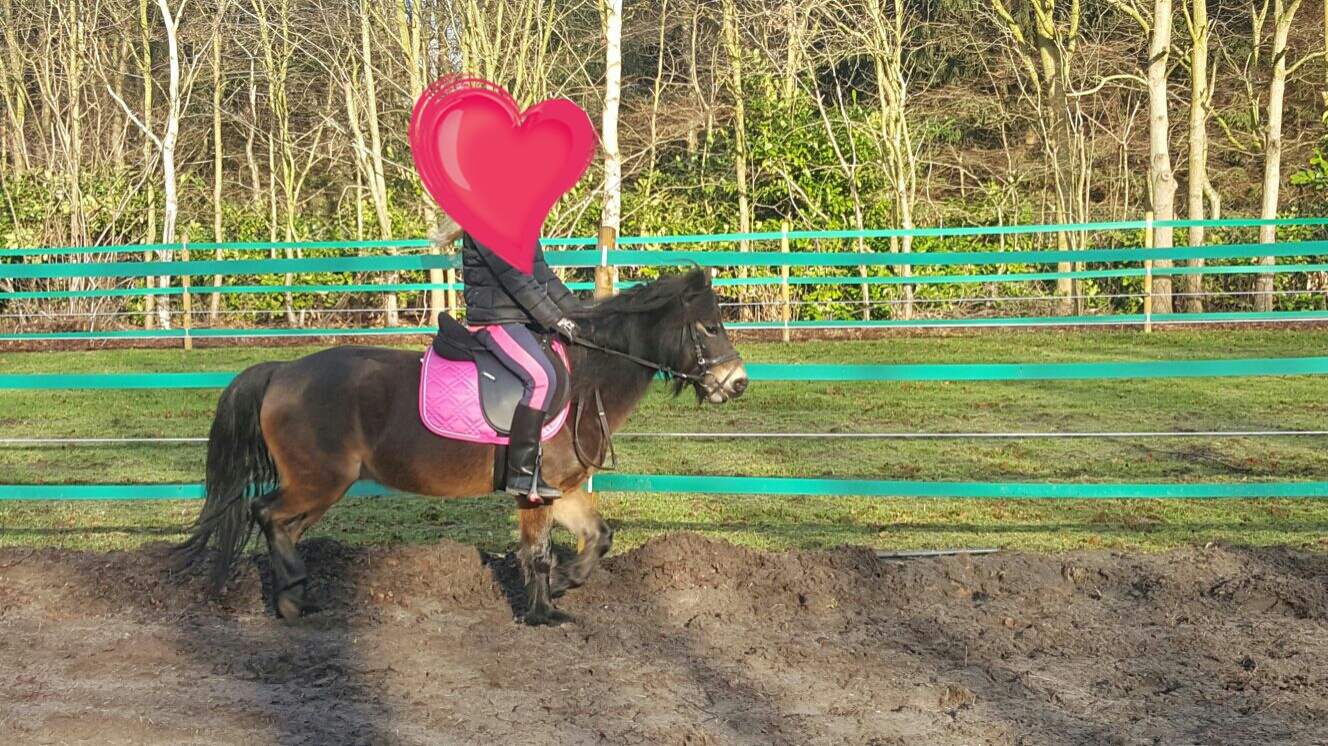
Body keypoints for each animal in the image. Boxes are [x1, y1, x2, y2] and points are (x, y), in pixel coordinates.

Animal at [172, 268, 748, 626]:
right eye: (709, 326)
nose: (738, 383)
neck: (585, 378)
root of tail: (282, 370)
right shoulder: (533, 489)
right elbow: (537, 553)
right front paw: (541, 612)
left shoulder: (560, 490)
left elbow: (598, 537)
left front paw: (566, 584)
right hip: (319, 481)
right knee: (267, 515)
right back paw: (293, 601)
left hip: (319, 486)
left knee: (283, 526)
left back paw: (297, 596)